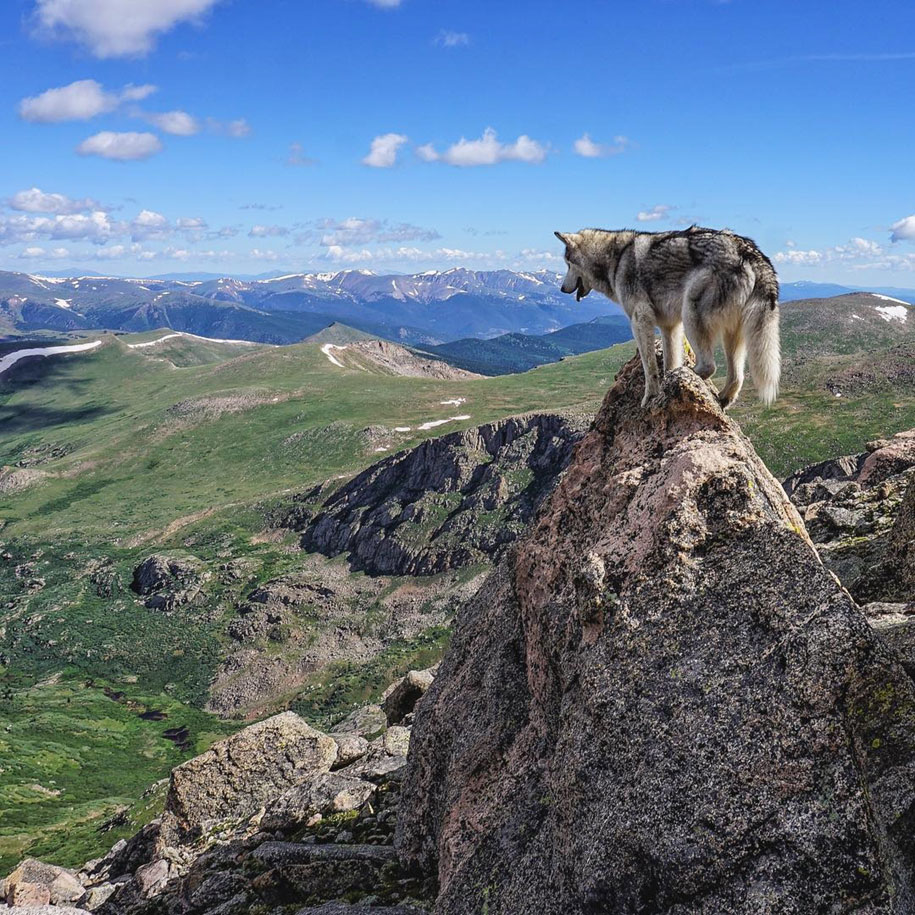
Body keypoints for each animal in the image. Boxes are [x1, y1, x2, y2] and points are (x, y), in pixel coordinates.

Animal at [554, 226, 781, 408]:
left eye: (567, 264)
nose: (562, 289)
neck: (616, 261)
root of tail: (749, 252)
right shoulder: (669, 326)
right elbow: (669, 360)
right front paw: (665, 384)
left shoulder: (639, 319)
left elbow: (650, 367)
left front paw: (650, 397)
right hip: (730, 334)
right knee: (736, 377)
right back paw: (720, 398)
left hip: (691, 314)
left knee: (709, 366)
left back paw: (686, 376)